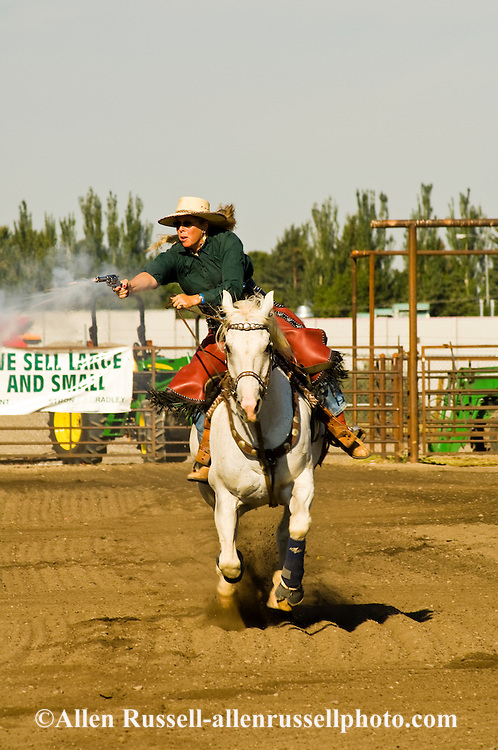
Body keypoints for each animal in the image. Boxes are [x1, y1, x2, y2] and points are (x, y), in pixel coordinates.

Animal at [191, 290, 326, 612]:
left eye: (267, 347)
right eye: (227, 347)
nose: (249, 403)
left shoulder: (303, 482)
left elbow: (298, 529)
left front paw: (288, 588)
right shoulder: (224, 497)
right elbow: (230, 562)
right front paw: (226, 593)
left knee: (284, 531)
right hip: (209, 493)